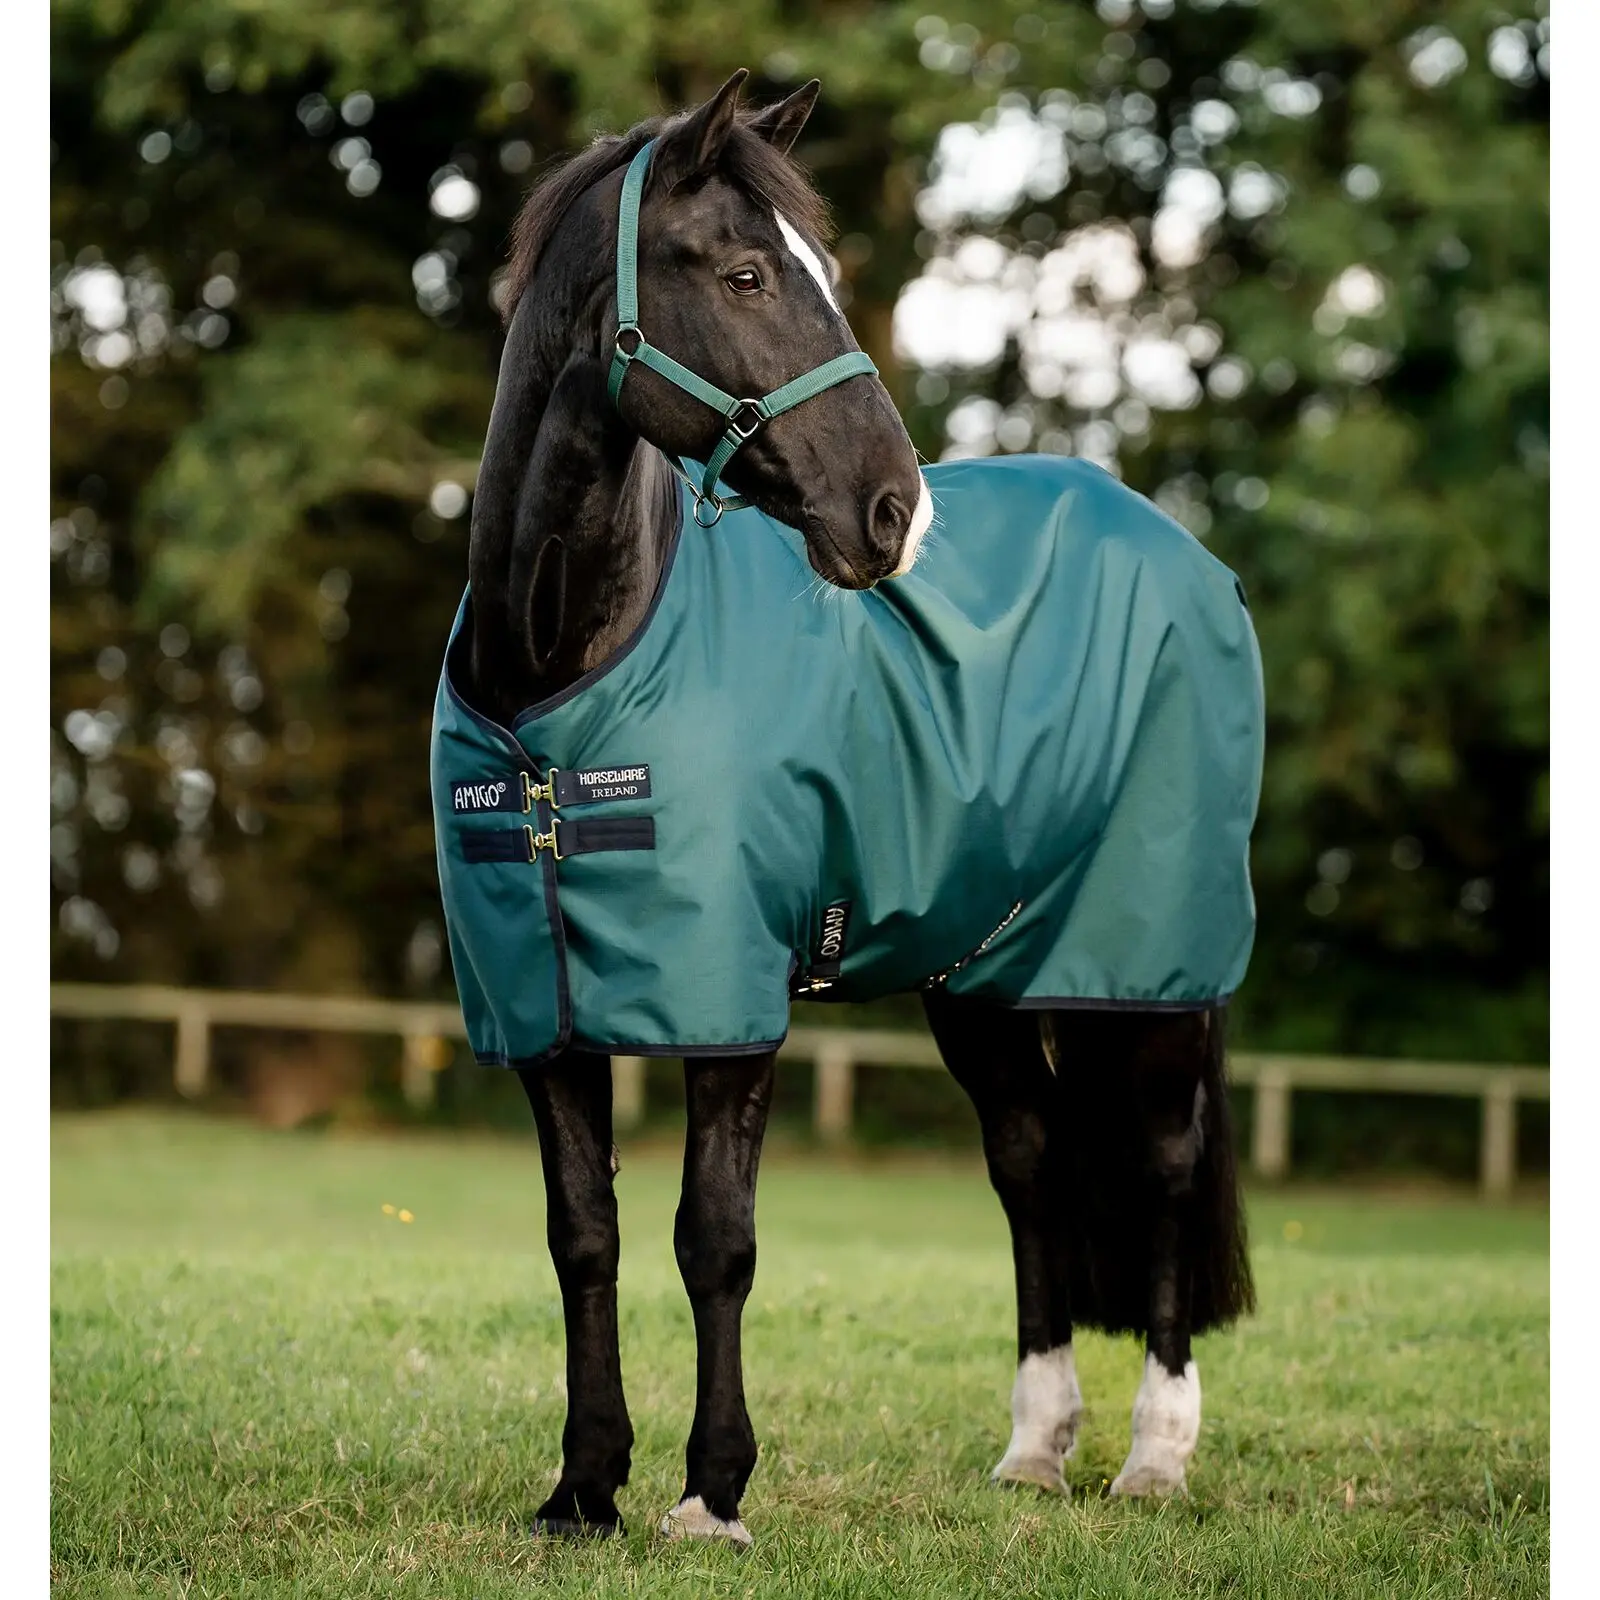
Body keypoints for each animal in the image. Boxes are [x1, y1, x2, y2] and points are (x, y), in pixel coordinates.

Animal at [441, 70, 1258, 1546]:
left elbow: (714, 1237)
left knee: (1162, 1167)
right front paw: (584, 1487)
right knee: (1030, 1160)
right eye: (747, 272)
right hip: (981, 974)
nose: (894, 513)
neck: (560, 679)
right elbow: (582, 1233)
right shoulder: (542, 1007)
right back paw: (1034, 1448)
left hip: (1153, 967)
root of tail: (1180, 549)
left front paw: (711, 1492)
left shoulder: (730, 1002)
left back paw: (1156, 1456)